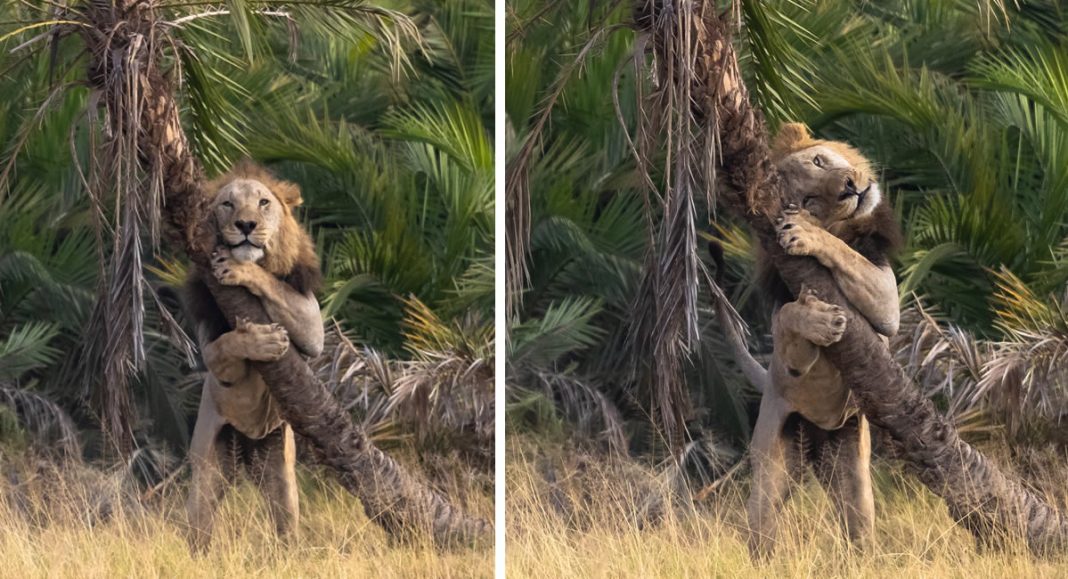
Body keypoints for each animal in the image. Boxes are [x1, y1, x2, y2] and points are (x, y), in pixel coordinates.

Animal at [181, 161, 322, 551]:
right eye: (227, 204)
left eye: (263, 203)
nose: (246, 225)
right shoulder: (211, 347)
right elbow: (228, 344)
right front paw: (260, 340)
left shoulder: (313, 324)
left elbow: (271, 283)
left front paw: (242, 269)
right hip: (209, 465)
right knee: (199, 522)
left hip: (279, 467)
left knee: (285, 518)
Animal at [717, 124, 901, 559]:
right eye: (810, 199)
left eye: (819, 161)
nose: (849, 186)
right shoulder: (790, 352)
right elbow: (787, 317)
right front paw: (819, 319)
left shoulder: (887, 302)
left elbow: (847, 254)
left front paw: (806, 233)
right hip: (771, 465)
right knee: (761, 530)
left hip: (851, 471)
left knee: (858, 527)